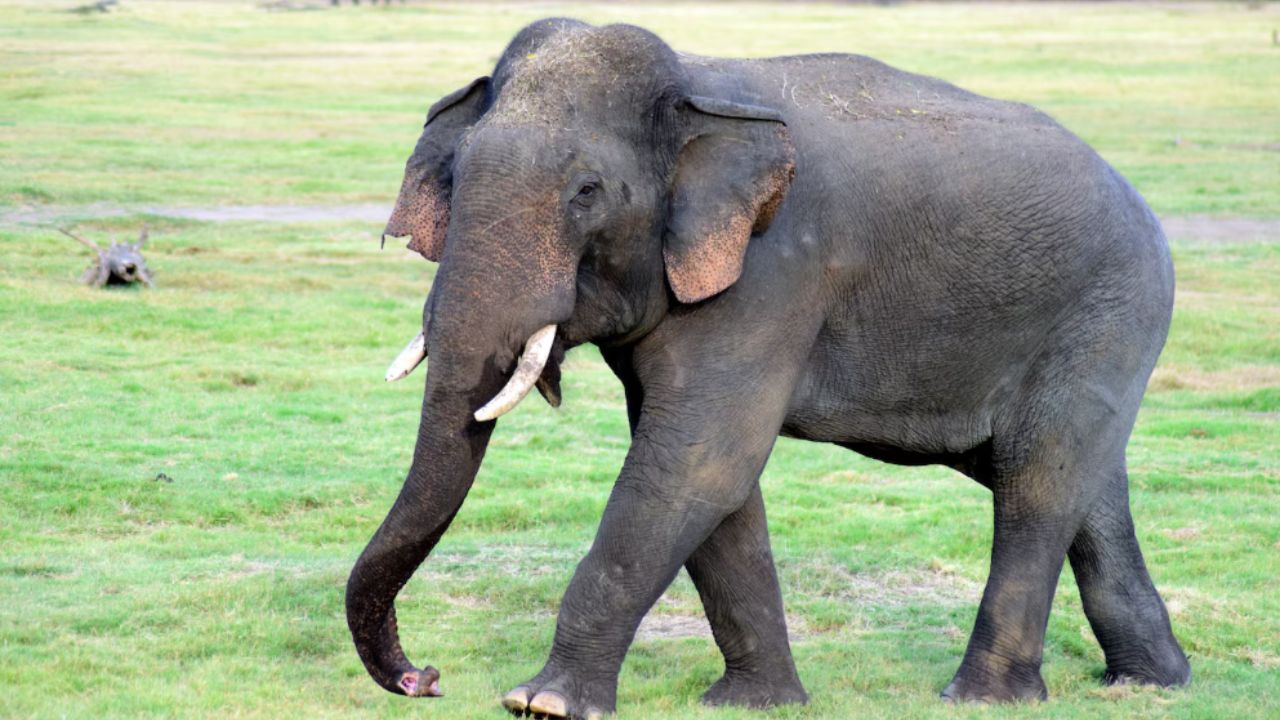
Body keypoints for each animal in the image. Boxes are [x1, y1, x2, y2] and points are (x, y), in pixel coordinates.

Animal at [347, 18, 1191, 718]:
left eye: (586, 193)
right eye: (455, 176)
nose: (425, 678)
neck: (695, 84)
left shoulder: (773, 272)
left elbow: (696, 462)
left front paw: (542, 705)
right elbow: (713, 480)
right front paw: (756, 705)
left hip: (1109, 310)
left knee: (1036, 482)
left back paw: (983, 699)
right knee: (1084, 484)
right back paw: (1152, 683)